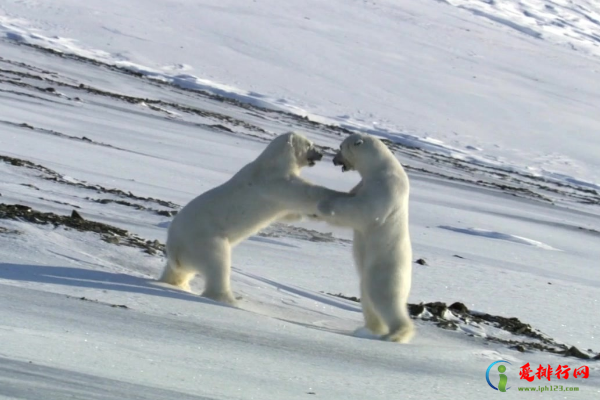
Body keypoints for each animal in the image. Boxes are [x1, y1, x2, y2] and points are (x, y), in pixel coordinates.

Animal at [159, 131, 350, 304]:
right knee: (218, 263)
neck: (273, 162)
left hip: (186, 253)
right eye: (310, 144)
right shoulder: (274, 182)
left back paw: (175, 283)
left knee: (179, 271)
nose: (321, 154)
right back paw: (229, 299)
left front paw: (316, 213)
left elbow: (290, 213)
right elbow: (303, 192)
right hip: (205, 239)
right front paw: (335, 196)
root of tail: (175, 245)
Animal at [318, 133, 412, 342]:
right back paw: (369, 329)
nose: (334, 159)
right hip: (366, 278)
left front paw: (325, 204)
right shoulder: (362, 185)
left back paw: (396, 334)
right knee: (368, 300)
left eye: (341, 147)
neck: (381, 168)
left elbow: (364, 212)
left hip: (385, 271)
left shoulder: (385, 188)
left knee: (385, 299)